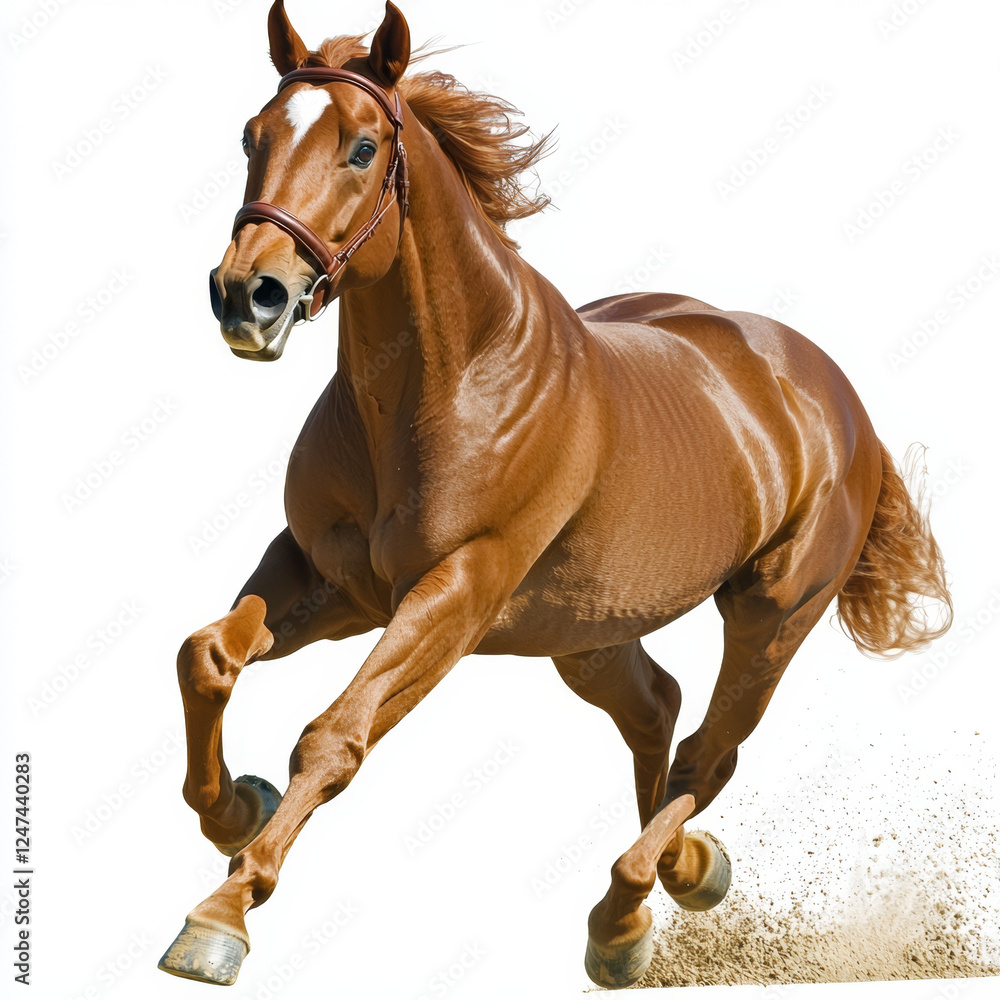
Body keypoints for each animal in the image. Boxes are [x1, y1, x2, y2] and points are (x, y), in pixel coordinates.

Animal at [158, 1, 952, 988]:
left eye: (363, 147)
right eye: (251, 135)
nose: (247, 295)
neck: (449, 381)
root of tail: (837, 398)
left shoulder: (456, 593)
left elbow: (335, 736)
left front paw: (221, 914)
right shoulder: (328, 578)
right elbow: (206, 656)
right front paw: (235, 808)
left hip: (773, 617)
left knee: (711, 753)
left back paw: (622, 909)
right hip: (583, 633)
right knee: (659, 711)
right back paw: (678, 876)